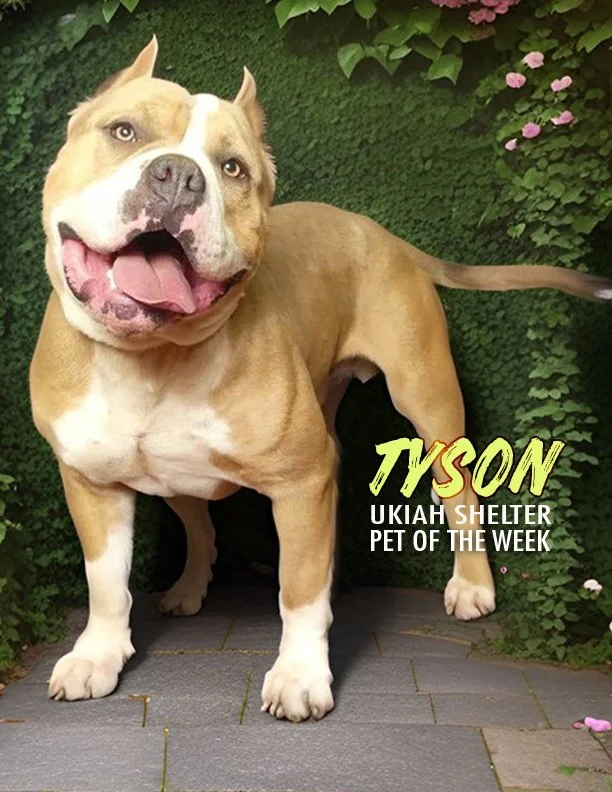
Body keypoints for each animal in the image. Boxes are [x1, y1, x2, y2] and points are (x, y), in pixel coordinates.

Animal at [30, 38, 612, 721]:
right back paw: (191, 587)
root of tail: (388, 237)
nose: (178, 175)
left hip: (427, 401)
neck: (153, 355)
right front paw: (97, 654)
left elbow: (298, 591)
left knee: (458, 493)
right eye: (124, 131)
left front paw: (301, 674)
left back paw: (470, 588)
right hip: (185, 473)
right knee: (200, 523)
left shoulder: (300, 482)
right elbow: (105, 582)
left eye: (233, 169)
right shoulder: (92, 484)